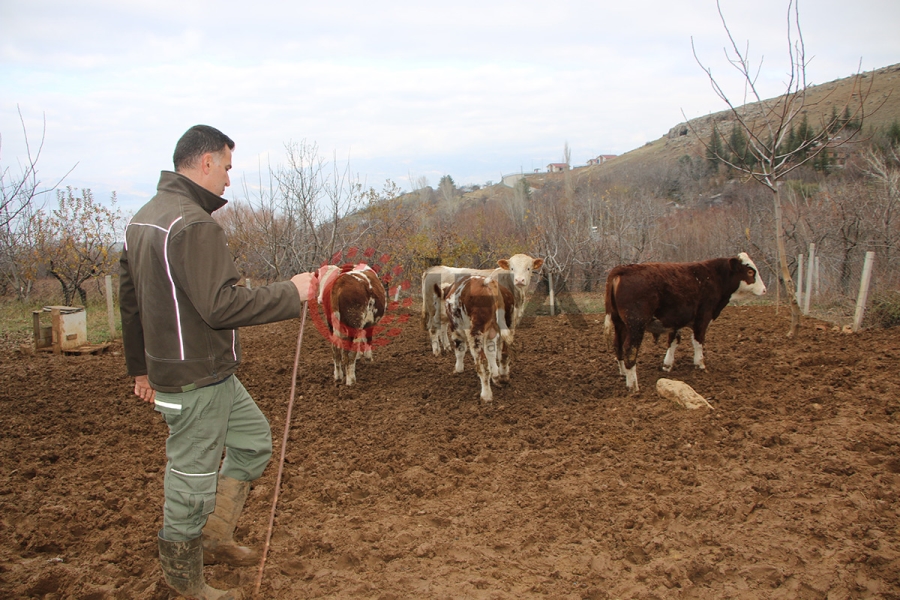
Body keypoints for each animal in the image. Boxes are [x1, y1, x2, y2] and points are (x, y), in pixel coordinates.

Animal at [604, 253, 768, 394]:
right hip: (636, 325)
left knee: (618, 345)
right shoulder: (703, 318)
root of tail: (623, 269)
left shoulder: (676, 321)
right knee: (630, 350)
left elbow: (673, 342)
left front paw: (667, 365)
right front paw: (700, 364)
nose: (764, 290)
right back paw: (633, 385)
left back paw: (623, 373)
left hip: (620, 324)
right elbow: (698, 341)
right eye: (750, 272)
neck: (713, 276)